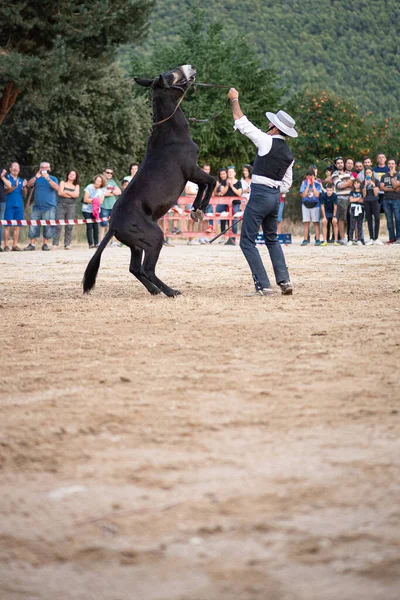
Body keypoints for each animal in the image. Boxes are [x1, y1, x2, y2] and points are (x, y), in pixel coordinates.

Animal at [82, 65, 217, 298]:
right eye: (173, 74)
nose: (190, 67)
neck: (171, 133)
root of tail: (112, 227)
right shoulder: (192, 170)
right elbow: (212, 181)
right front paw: (199, 209)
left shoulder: (192, 174)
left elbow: (203, 185)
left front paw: (195, 209)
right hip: (154, 238)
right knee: (147, 269)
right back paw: (170, 291)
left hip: (137, 245)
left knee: (135, 268)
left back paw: (155, 290)